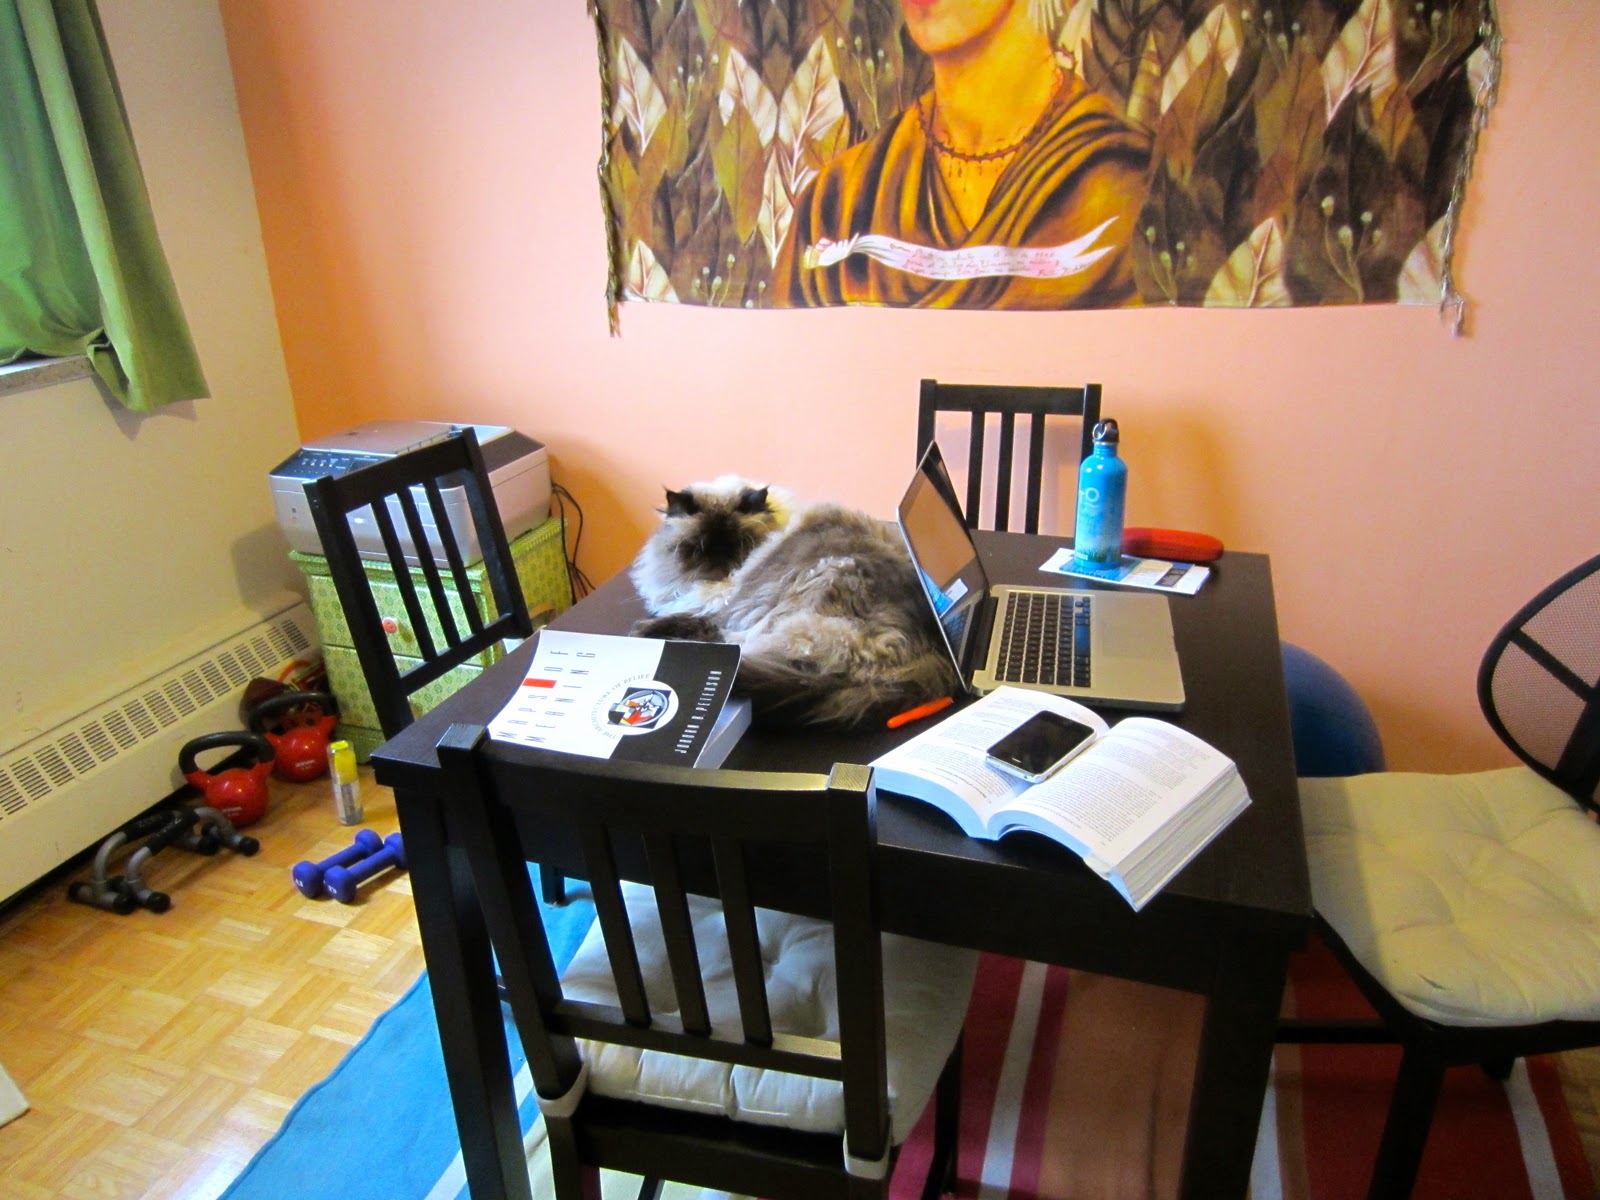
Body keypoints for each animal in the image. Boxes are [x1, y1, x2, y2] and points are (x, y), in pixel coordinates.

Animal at [629, 475, 962, 731]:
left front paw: (644, 629)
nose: (722, 565)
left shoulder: (725, 606)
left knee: (730, 643)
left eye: (740, 544)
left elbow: (699, 618)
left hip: (807, 587)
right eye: (701, 547)